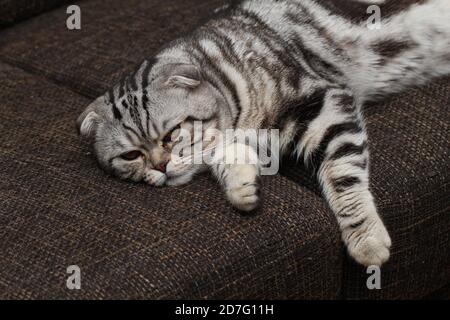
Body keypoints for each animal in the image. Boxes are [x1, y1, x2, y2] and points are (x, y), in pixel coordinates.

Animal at [77, 0, 450, 266]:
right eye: (131, 155)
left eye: (171, 134)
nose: (159, 166)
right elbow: (228, 158)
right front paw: (242, 188)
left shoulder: (323, 103)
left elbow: (343, 177)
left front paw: (366, 238)